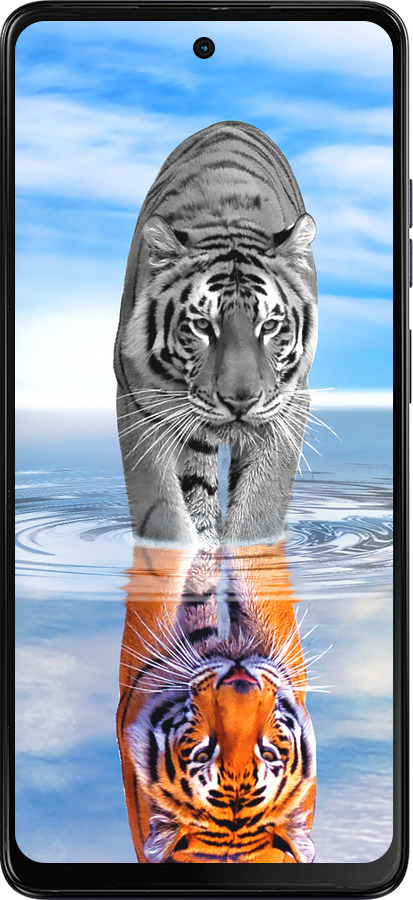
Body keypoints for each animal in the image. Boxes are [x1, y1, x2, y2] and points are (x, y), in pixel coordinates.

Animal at [114, 120, 318, 549]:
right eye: (203, 326)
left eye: (269, 326)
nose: (240, 401)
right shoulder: (138, 401)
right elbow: (161, 511)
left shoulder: (289, 404)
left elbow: (260, 508)